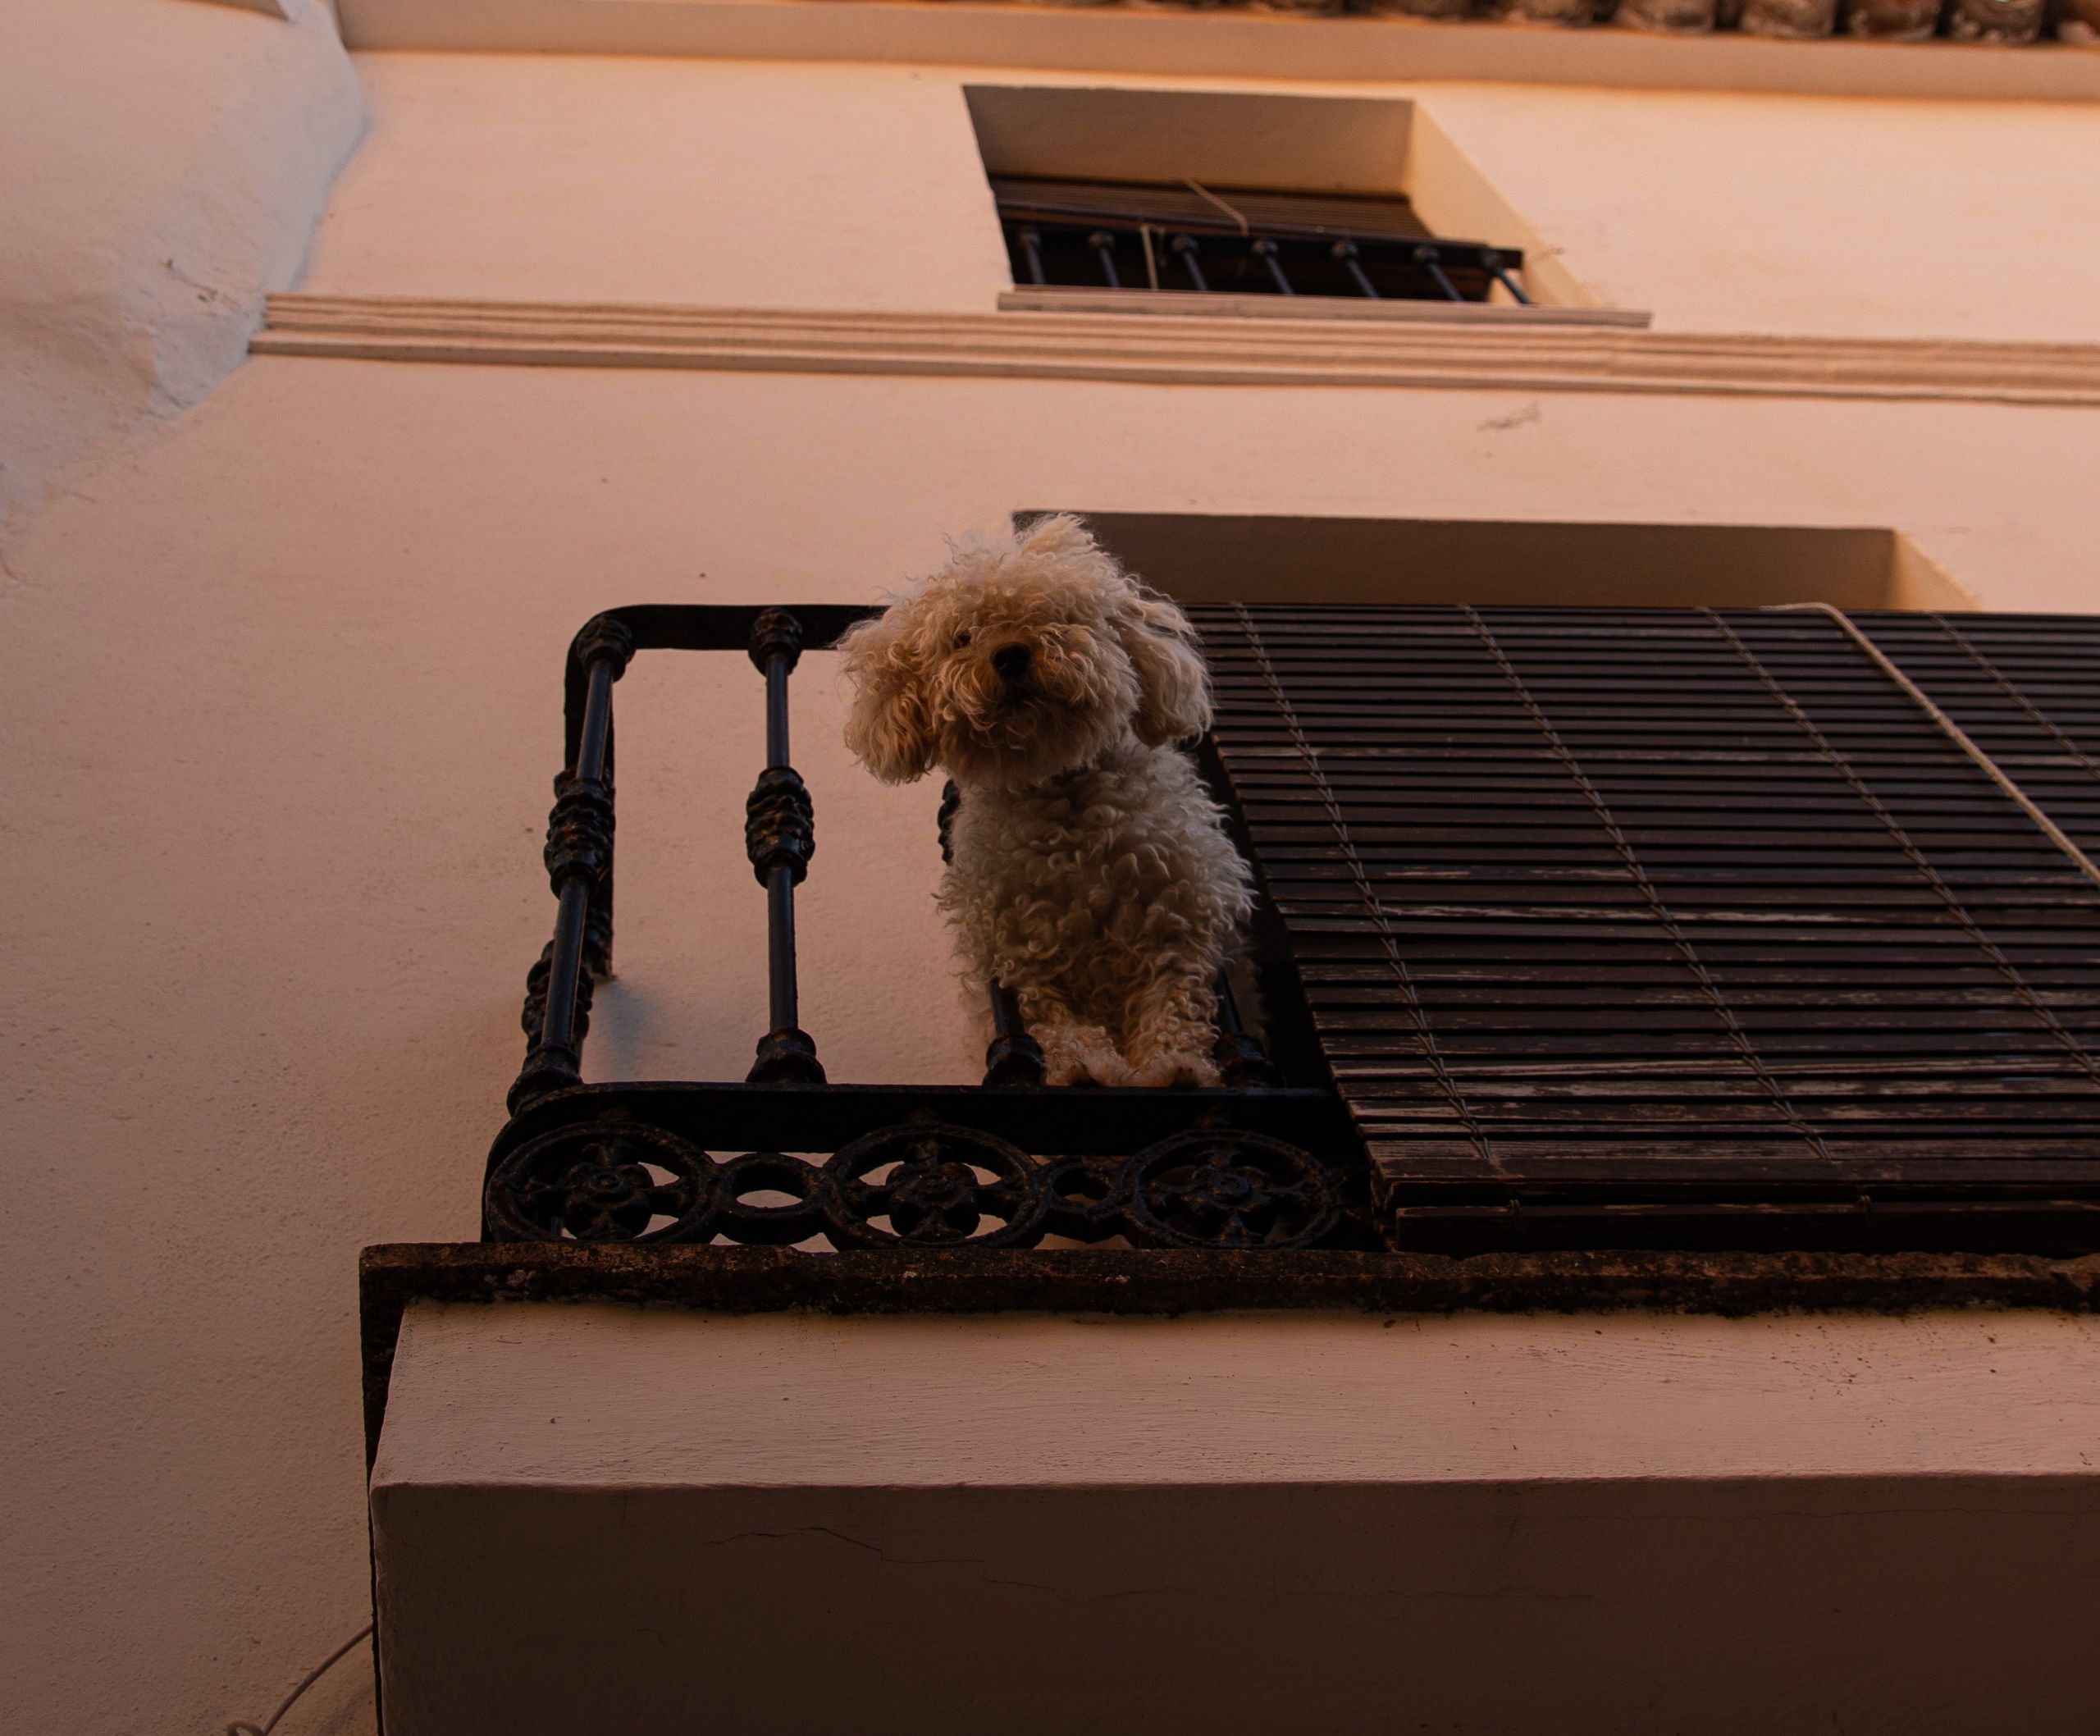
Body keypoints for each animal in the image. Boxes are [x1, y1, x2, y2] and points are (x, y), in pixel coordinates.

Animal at [835, 516, 1251, 1083]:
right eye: (963, 637)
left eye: (1057, 616)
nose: (1009, 653)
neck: (1062, 800)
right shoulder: (1017, 948)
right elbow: (1055, 1024)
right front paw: (1085, 1066)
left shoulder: (1179, 921)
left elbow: (1172, 1007)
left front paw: (1173, 1067)